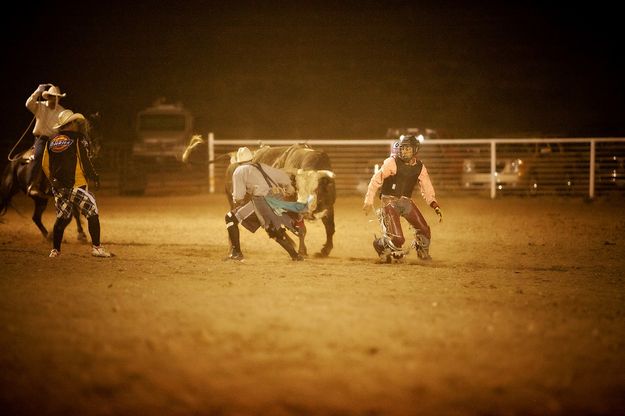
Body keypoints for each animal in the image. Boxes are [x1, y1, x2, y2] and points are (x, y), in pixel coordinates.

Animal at [0, 114, 101, 242]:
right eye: (90, 127)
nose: (96, 149)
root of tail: (12, 163)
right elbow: (73, 214)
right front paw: (80, 233)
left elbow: (75, 213)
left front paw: (80, 233)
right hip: (8, 190)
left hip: (40, 199)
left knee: (36, 218)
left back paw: (47, 235)